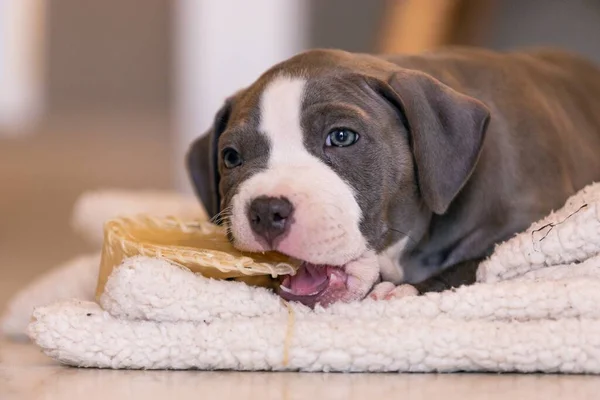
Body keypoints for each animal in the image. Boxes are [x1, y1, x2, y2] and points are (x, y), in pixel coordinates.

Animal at [185, 48, 600, 308]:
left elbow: (482, 260)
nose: (267, 211)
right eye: (231, 157)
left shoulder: (527, 224)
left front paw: (407, 292)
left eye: (341, 137)